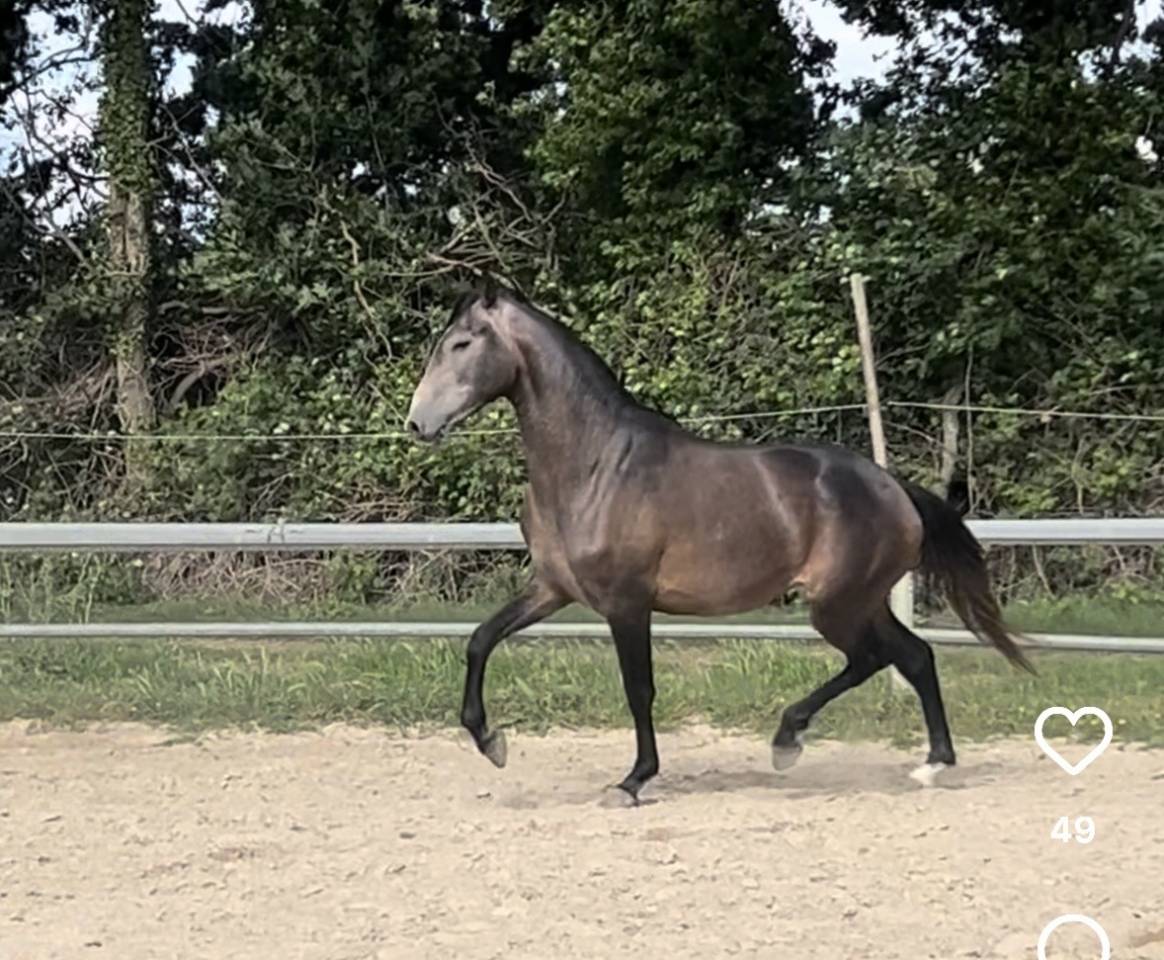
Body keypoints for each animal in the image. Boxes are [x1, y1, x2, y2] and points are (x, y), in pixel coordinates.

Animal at [405, 282, 1034, 804]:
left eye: (461, 343)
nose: (416, 423)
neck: (594, 464)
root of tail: (895, 488)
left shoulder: (627, 604)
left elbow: (639, 689)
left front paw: (634, 781)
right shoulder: (553, 589)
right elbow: (481, 640)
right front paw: (491, 742)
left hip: (838, 604)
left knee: (875, 659)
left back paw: (789, 742)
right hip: (862, 601)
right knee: (915, 656)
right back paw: (931, 763)